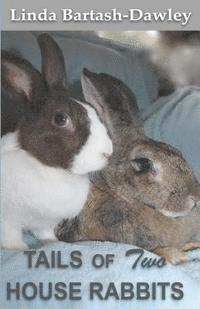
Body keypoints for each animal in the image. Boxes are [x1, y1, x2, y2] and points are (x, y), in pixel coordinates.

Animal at [0, 35, 112, 249]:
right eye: (61, 119)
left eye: (93, 110)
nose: (107, 153)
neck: (49, 170)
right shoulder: (8, 220)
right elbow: (11, 238)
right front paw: (21, 249)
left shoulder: (45, 222)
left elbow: (45, 234)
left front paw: (52, 242)